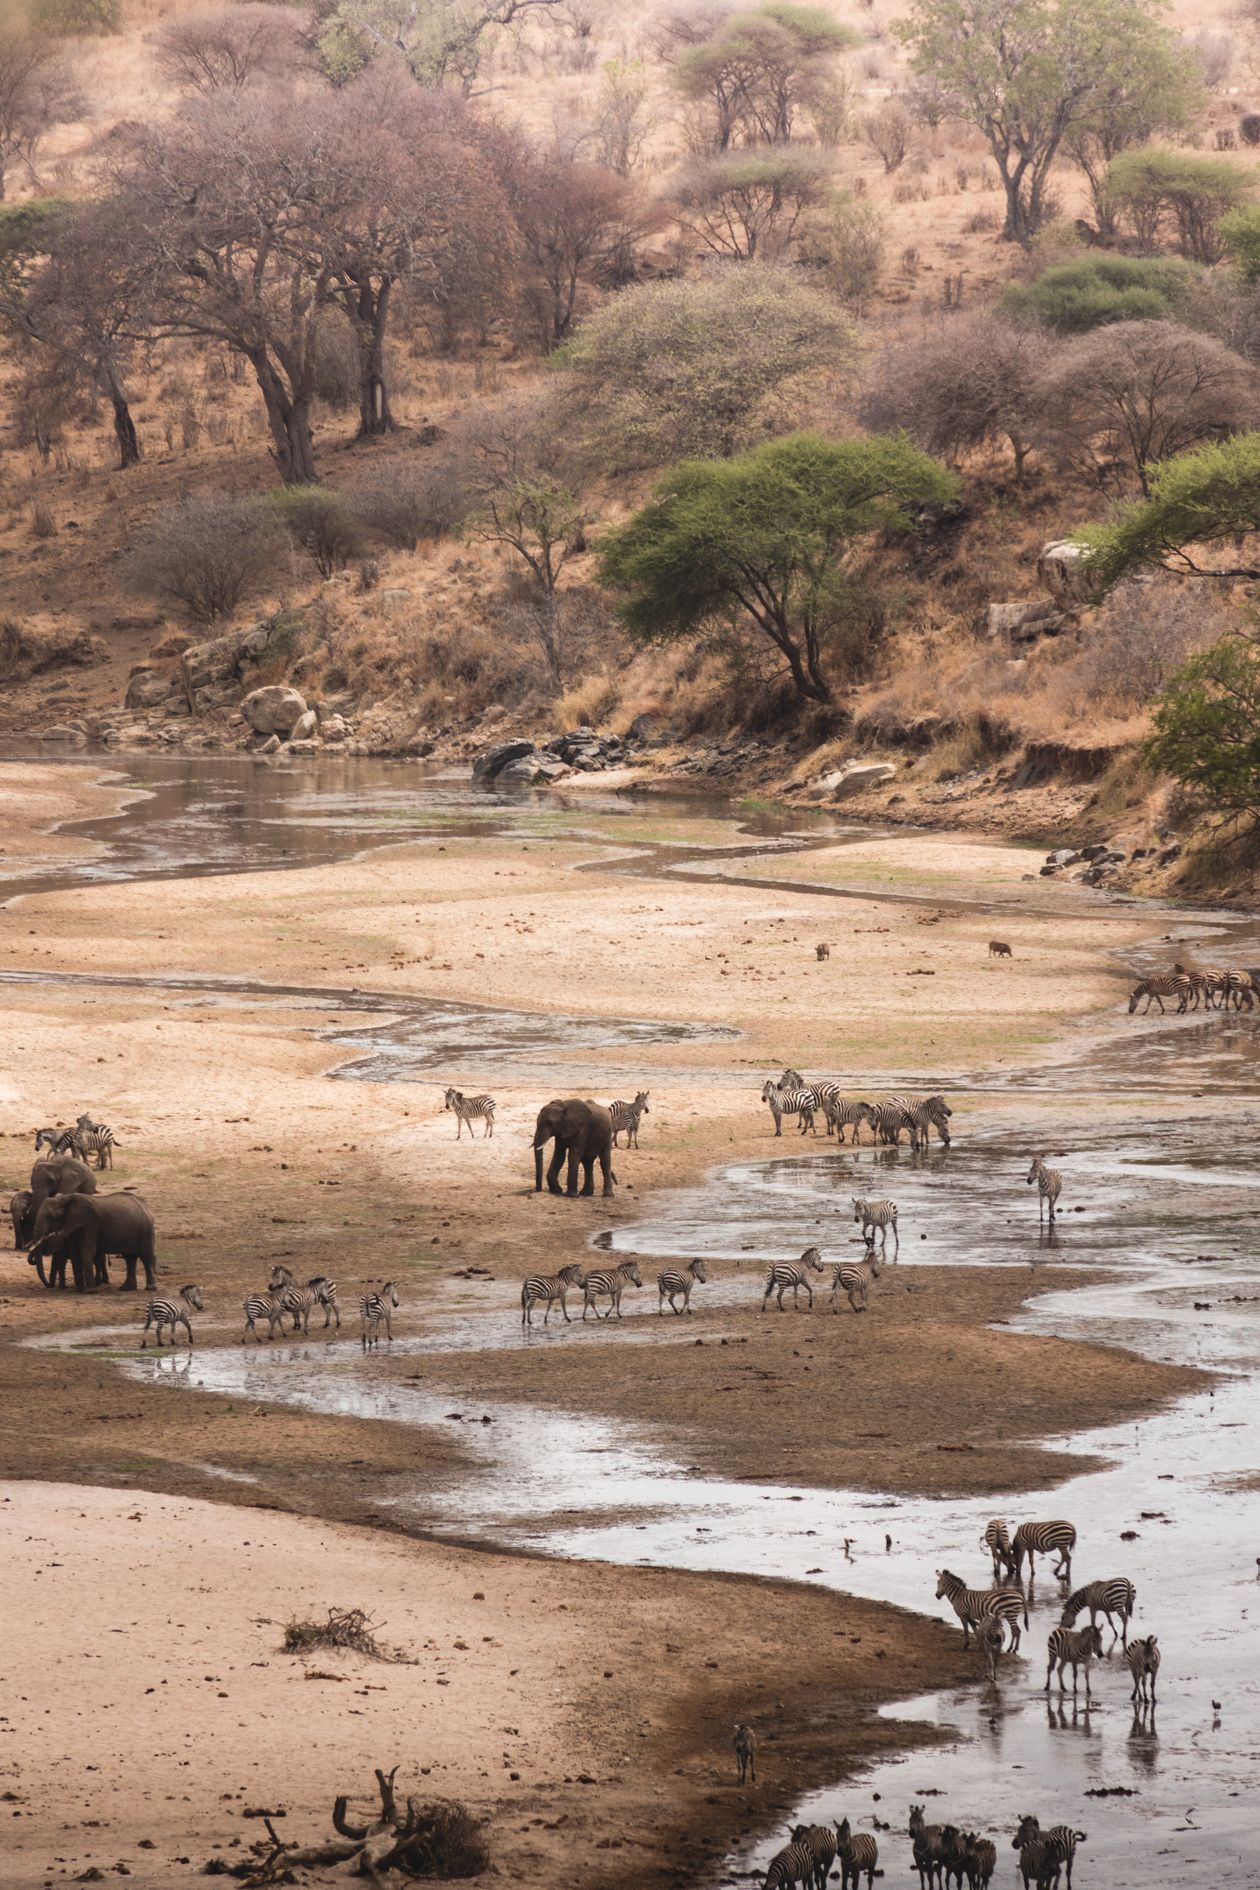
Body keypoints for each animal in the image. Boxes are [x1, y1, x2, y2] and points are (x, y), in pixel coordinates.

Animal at [27, 1190, 156, 1293]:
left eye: (52, 1217)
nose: (49, 1285)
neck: (66, 1198)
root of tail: (146, 1207)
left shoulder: (91, 1223)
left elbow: (86, 1250)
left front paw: (90, 1291)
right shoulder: (73, 1225)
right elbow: (75, 1253)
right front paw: (79, 1290)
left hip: (145, 1229)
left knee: (145, 1256)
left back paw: (150, 1288)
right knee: (130, 1258)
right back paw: (126, 1288)